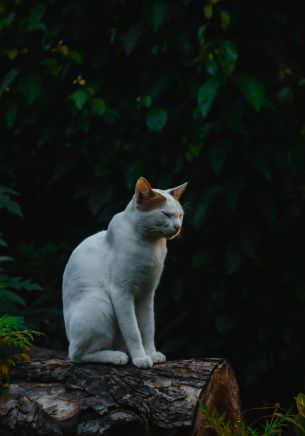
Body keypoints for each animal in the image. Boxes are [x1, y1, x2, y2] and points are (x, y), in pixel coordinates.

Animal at [62, 177, 186, 368]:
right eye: (165, 214)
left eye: (180, 215)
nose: (178, 227)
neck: (150, 246)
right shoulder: (121, 292)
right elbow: (133, 331)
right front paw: (141, 358)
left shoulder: (147, 294)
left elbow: (148, 328)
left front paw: (151, 354)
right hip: (99, 304)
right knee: (77, 355)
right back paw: (116, 356)